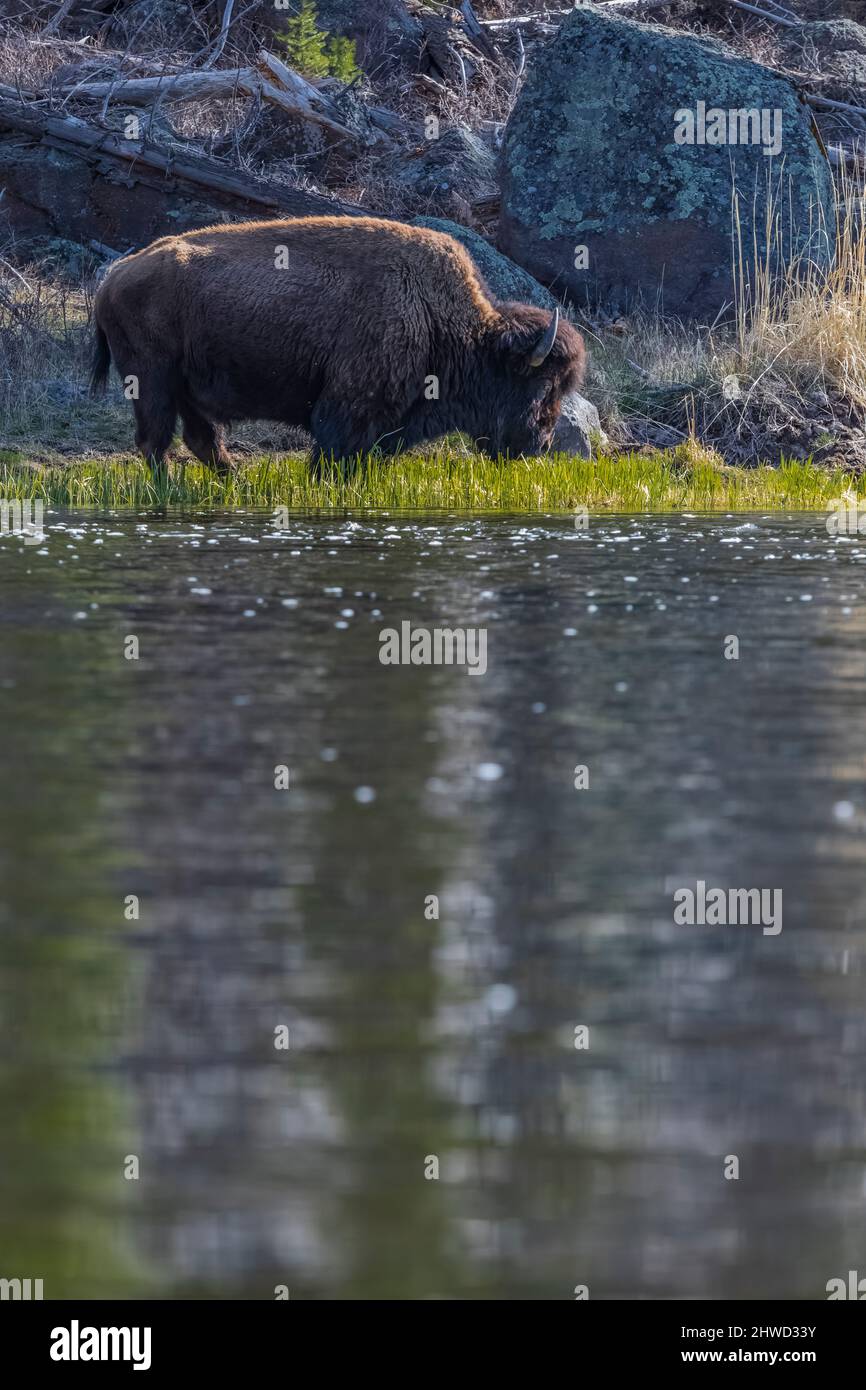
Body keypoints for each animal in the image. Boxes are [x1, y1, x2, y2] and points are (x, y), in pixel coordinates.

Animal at [91, 214, 586, 478]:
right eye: (542, 386)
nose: (540, 443)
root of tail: (114, 277)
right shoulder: (347, 411)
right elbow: (332, 454)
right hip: (152, 381)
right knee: (155, 441)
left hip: (187, 389)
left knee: (200, 439)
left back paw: (235, 482)